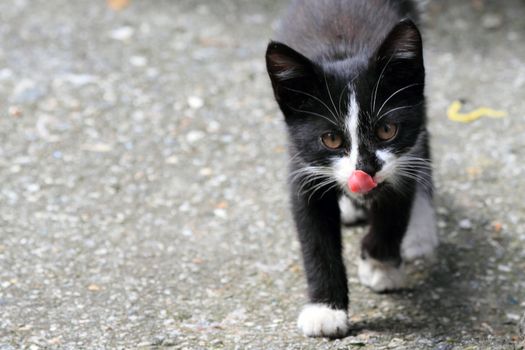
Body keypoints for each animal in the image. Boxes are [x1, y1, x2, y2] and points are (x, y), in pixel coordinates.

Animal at [266, 0, 438, 338]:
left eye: (386, 130)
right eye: (331, 139)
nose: (365, 170)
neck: (342, 51)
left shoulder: (400, 156)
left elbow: (395, 208)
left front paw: (380, 264)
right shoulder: (301, 164)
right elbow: (315, 239)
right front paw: (325, 309)